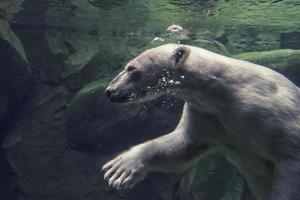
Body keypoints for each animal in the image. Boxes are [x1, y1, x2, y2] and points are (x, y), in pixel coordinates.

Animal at [102, 43, 300, 200]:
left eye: (131, 68)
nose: (109, 91)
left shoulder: (272, 113)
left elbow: (289, 160)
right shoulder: (209, 117)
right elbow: (181, 147)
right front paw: (119, 167)